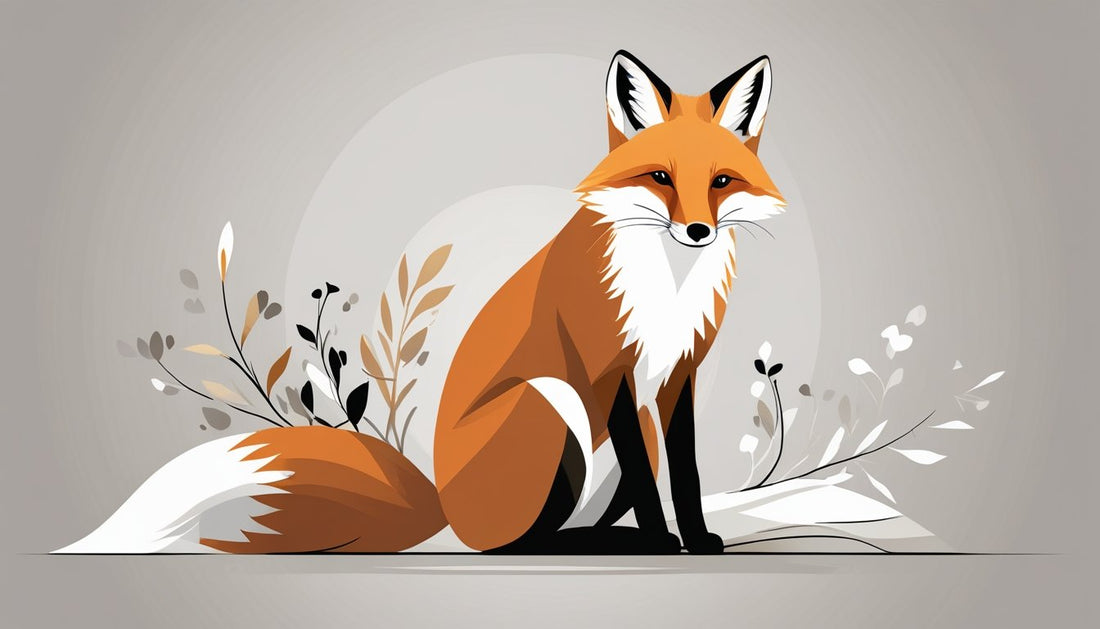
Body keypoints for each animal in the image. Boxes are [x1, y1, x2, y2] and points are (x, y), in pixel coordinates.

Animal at [54, 50, 783, 555]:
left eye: (721, 182)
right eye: (660, 177)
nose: (698, 231)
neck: (668, 286)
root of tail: (446, 505)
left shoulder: (676, 376)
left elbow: (685, 471)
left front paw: (696, 537)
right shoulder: (610, 370)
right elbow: (654, 478)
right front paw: (663, 539)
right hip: (551, 399)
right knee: (516, 543)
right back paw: (608, 543)